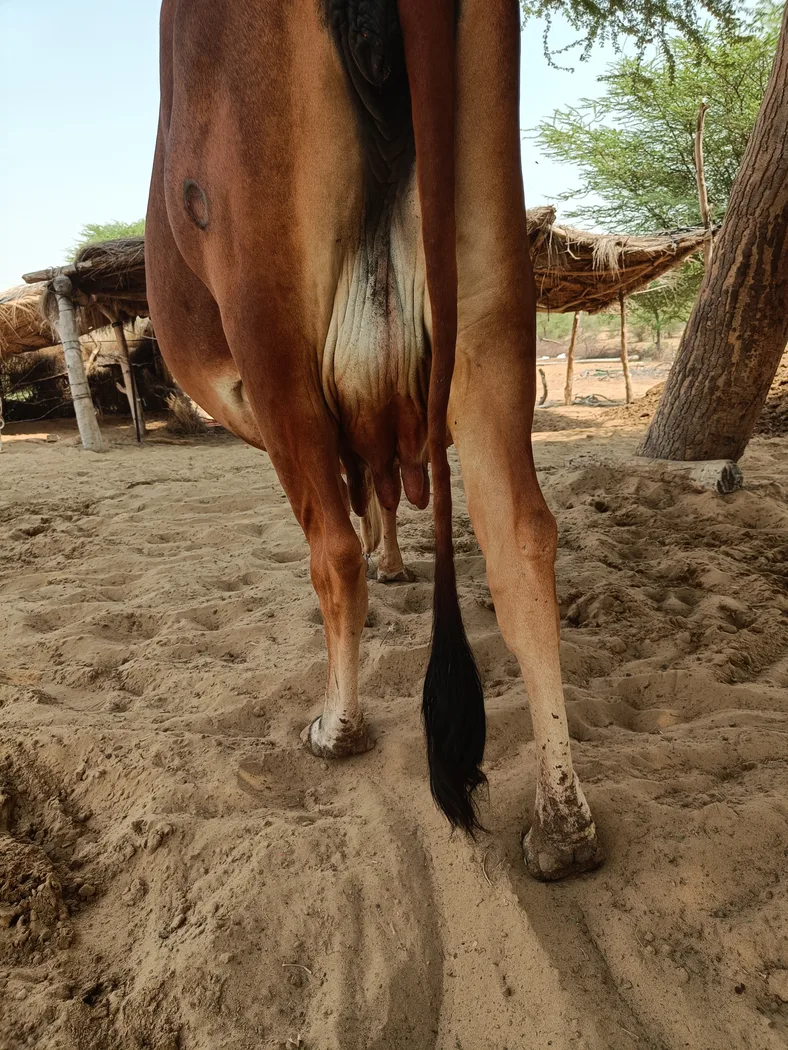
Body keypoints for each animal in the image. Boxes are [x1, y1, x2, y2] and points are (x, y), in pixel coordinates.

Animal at [146, 0, 603, 880]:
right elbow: (385, 492)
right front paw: (397, 561)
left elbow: (360, 510)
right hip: (492, 295)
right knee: (521, 535)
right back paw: (562, 825)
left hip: (272, 330)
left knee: (331, 550)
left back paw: (338, 726)